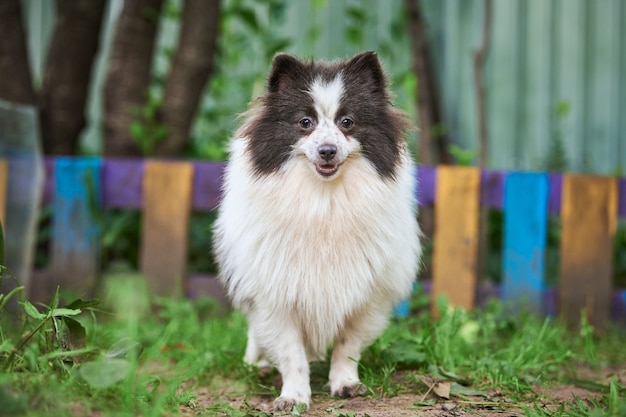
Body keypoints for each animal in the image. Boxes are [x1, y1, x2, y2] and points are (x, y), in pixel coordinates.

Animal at [212, 51, 422, 410]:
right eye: (304, 123)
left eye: (347, 122)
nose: (327, 150)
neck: (324, 200)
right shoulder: (276, 294)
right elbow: (291, 352)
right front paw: (293, 396)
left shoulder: (366, 296)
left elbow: (348, 345)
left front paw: (346, 383)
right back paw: (257, 363)